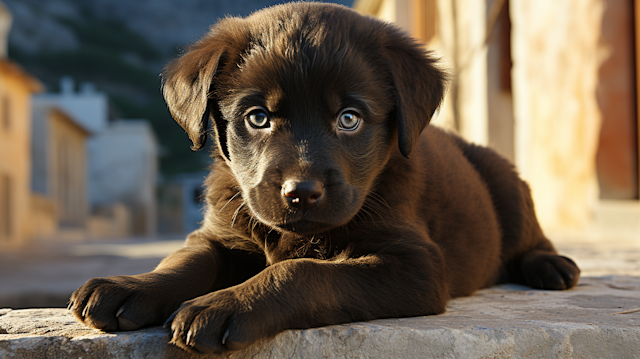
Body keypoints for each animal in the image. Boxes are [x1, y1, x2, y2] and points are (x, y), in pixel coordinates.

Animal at [70, 2, 580, 356]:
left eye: (349, 118)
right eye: (257, 117)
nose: (301, 192)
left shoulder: (414, 264)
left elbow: (303, 271)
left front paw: (224, 304)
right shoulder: (222, 234)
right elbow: (184, 261)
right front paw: (130, 286)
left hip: (506, 181)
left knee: (530, 237)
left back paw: (552, 266)